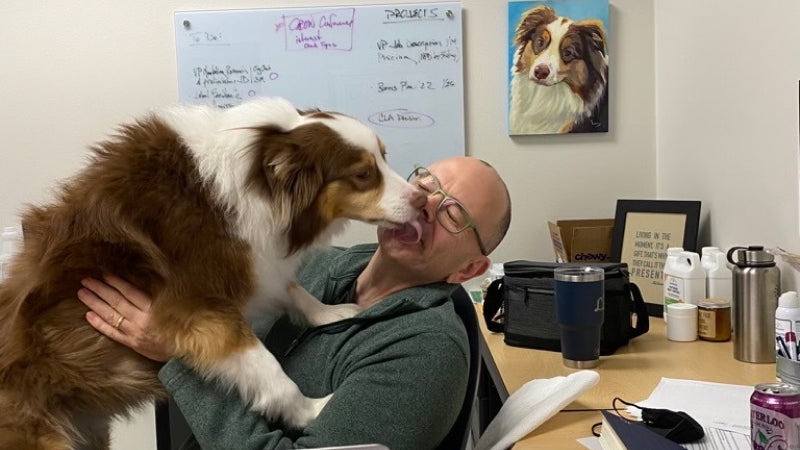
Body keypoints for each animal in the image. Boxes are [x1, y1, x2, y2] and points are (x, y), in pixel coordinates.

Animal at [0, 96, 424, 448]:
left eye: (384, 157)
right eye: (363, 175)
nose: (422, 197)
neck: (256, 178)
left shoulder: (257, 262)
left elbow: (294, 290)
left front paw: (331, 313)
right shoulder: (195, 306)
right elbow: (269, 372)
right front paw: (311, 410)